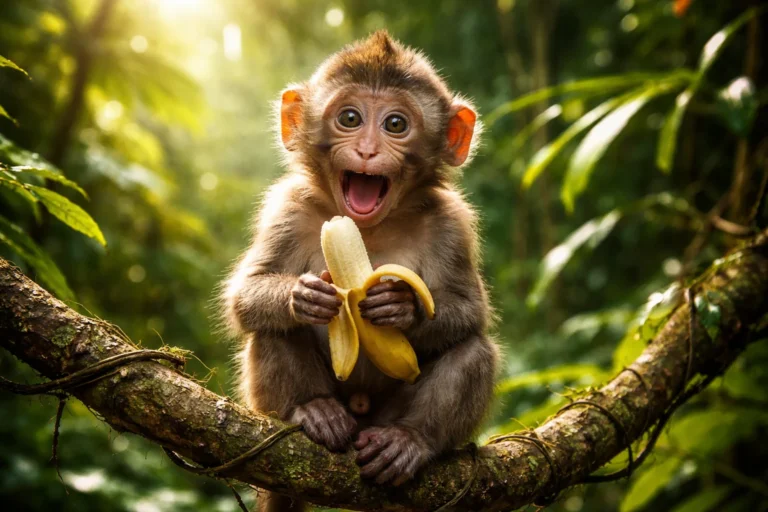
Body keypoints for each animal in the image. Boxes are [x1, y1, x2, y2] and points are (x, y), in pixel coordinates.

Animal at [222, 30, 499, 512]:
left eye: (395, 124)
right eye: (349, 118)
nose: (367, 150)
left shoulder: (452, 224)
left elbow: (470, 311)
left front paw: (400, 306)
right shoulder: (286, 208)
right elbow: (246, 295)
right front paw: (303, 296)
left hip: (383, 419)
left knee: (473, 348)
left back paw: (410, 440)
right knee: (270, 329)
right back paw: (313, 409)